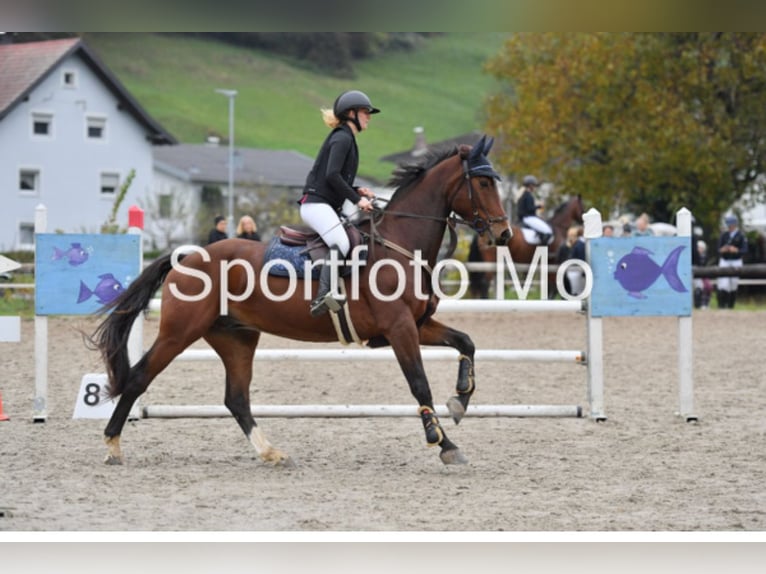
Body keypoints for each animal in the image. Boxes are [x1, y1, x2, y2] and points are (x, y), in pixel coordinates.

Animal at [93, 135, 512, 468]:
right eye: (483, 182)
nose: (505, 234)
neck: (400, 243)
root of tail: (188, 255)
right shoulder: (400, 329)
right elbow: (420, 384)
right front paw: (443, 443)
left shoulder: (418, 325)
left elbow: (466, 343)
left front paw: (460, 400)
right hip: (179, 332)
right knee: (138, 378)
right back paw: (112, 445)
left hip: (236, 338)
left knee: (236, 398)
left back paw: (270, 452)